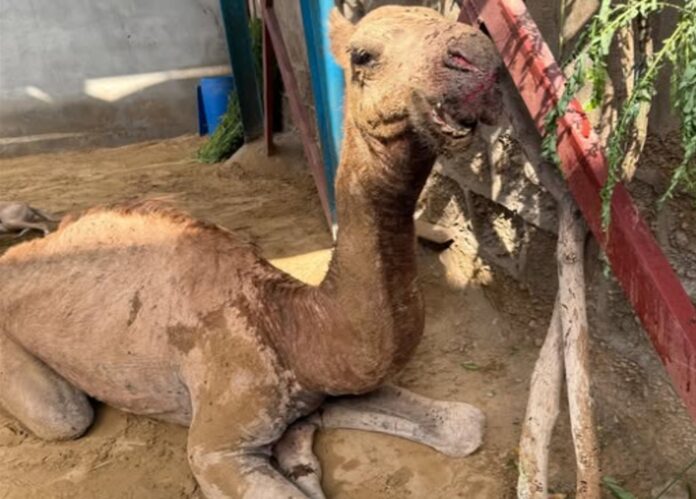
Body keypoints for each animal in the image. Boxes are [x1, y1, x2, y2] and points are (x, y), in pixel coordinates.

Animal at [0, 7, 501, 498]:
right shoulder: (217, 442)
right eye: (363, 55)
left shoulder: (322, 384)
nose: (478, 57)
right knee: (64, 416)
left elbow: (466, 423)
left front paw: (303, 448)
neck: (292, 323)